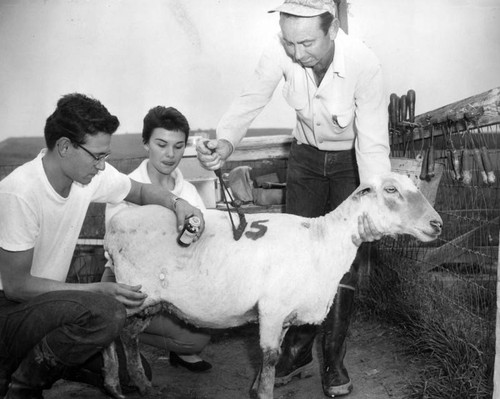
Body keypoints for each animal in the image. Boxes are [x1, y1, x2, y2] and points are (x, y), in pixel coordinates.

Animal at [100, 173, 442, 399]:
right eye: (391, 190)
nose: (437, 224)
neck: (322, 242)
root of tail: (111, 229)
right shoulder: (272, 309)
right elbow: (269, 359)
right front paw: (263, 391)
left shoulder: (285, 314)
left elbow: (275, 357)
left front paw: (257, 386)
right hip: (134, 291)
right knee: (113, 332)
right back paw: (120, 384)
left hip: (150, 302)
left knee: (127, 335)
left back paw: (135, 385)